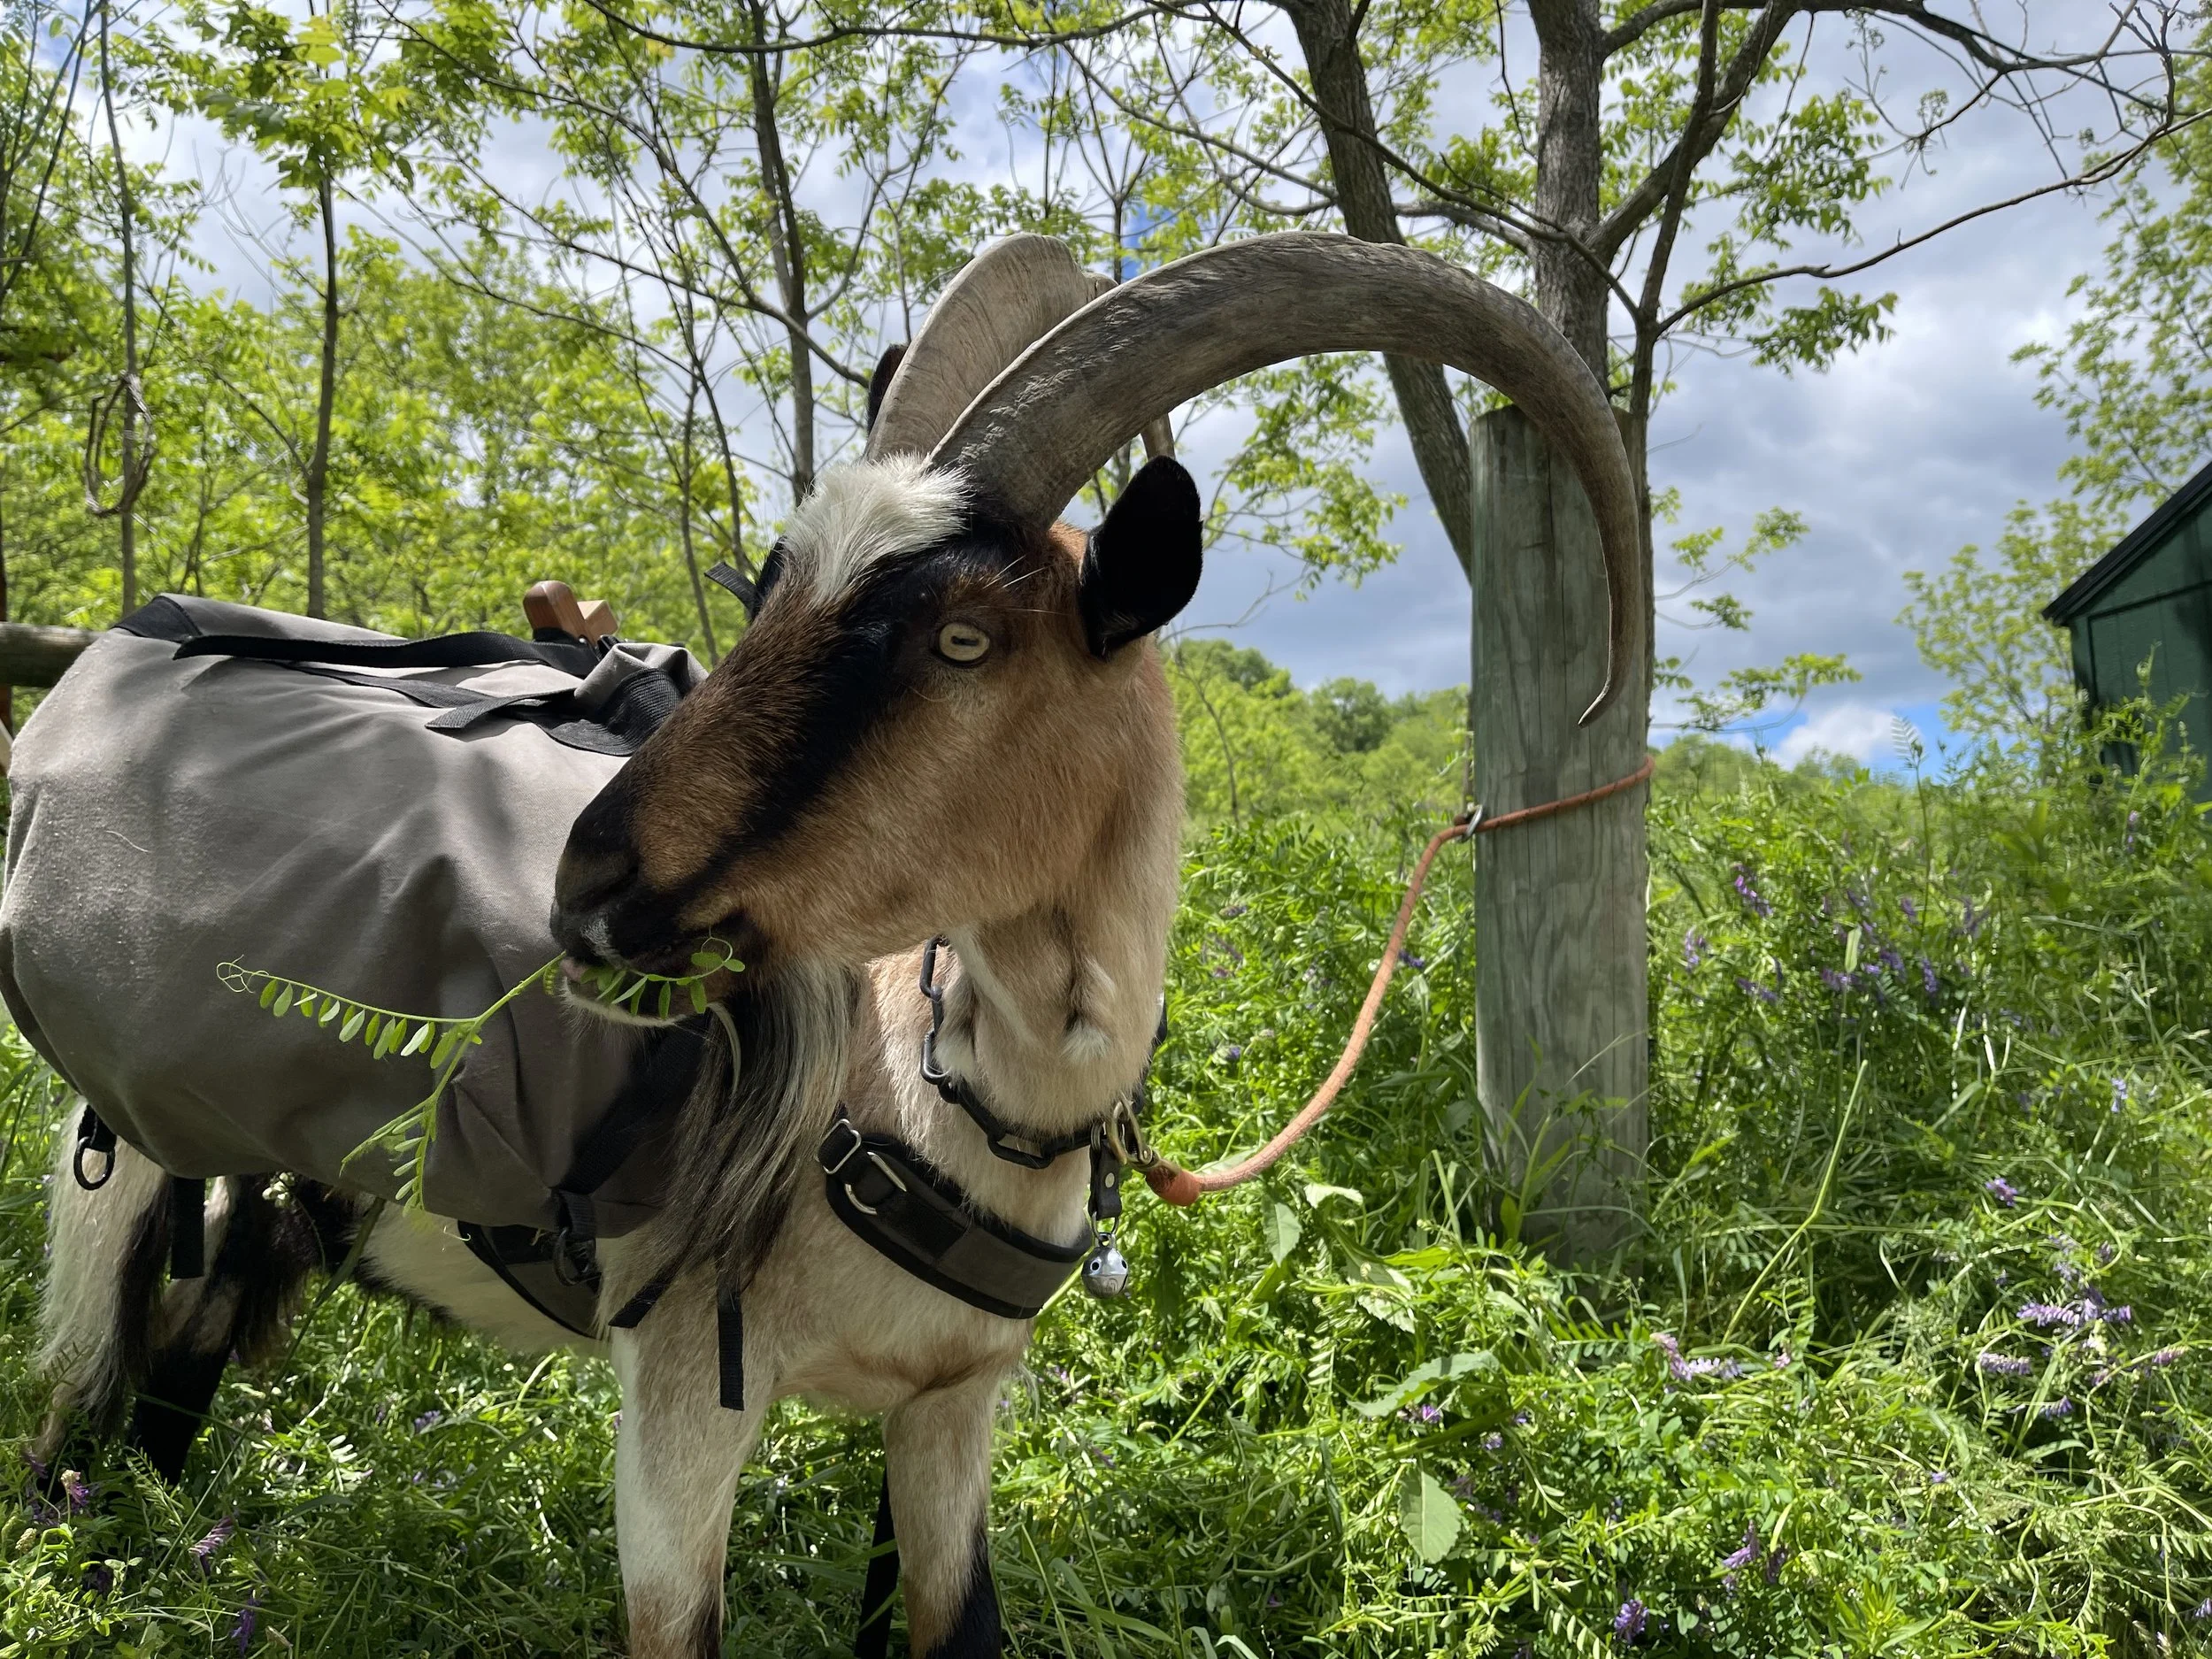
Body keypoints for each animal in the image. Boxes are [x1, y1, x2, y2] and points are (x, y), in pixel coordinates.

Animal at [24, 231, 1643, 1656]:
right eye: (767, 591)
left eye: (963, 639)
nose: (589, 885)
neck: (928, 1104)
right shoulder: (685, 1396)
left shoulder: (954, 1409)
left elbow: (960, 1624)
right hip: (130, 1164)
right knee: (77, 1416)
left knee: (174, 1386)